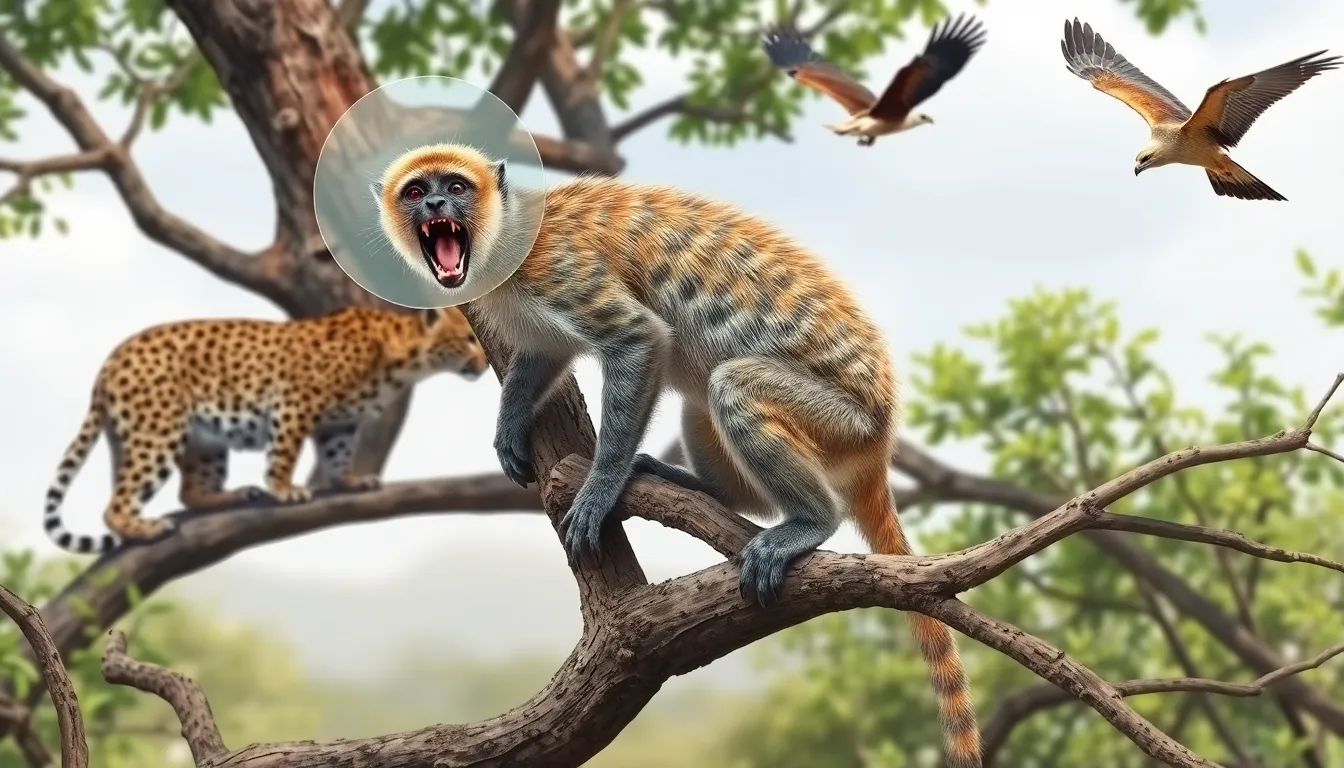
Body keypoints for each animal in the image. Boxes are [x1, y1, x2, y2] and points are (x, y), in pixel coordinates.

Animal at [371, 143, 982, 766]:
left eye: (455, 187)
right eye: (417, 192)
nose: (437, 205)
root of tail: (881, 434)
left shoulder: (557, 269)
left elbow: (639, 338)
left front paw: (601, 483)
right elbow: (546, 351)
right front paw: (511, 419)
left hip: (843, 423)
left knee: (729, 385)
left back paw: (810, 520)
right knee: (702, 397)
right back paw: (704, 488)